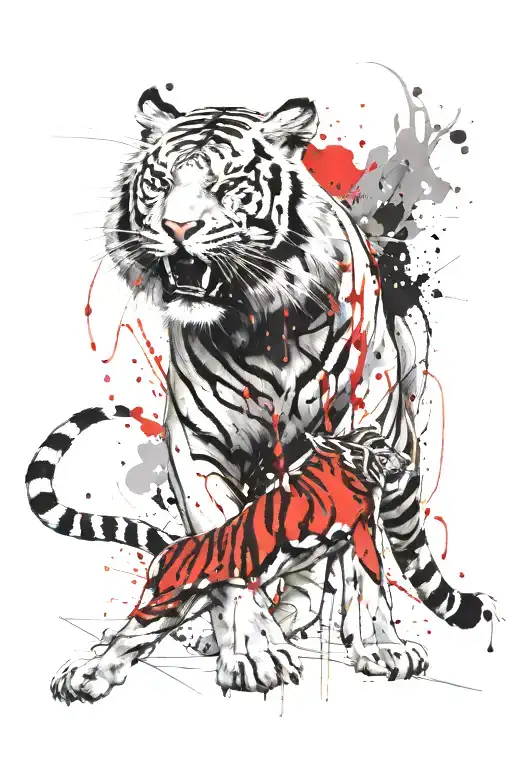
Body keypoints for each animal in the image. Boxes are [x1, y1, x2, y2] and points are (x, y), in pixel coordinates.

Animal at [26, 85, 496, 702]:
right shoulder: (199, 447)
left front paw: (380, 647)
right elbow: (227, 549)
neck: (260, 325)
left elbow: (363, 563)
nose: (177, 229)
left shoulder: (368, 431)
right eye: (160, 182)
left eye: (228, 184)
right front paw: (252, 653)